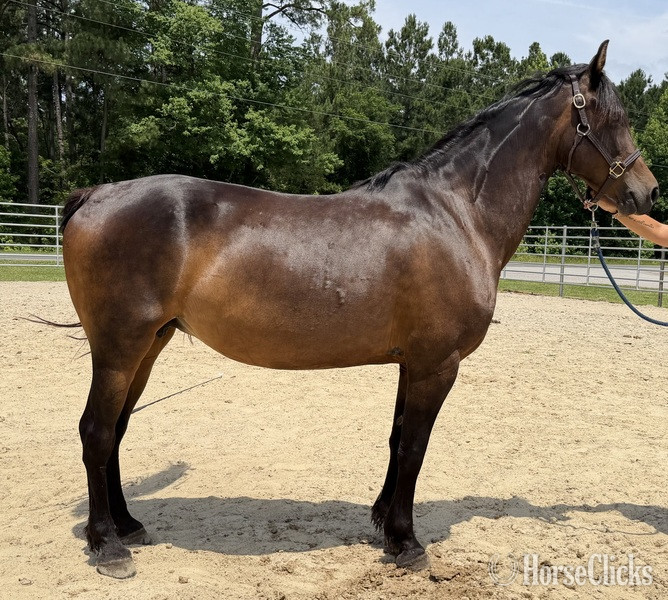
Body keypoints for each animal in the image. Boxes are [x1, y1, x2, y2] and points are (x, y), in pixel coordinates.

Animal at [61, 41, 659, 578]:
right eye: (613, 118)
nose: (647, 194)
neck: (456, 213)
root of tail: (97, 194)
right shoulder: (437, 363)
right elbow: (415, 446)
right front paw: (407, 542)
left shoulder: (412, 362)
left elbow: (396, 439)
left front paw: (383, 523)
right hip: (120, 347)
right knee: (96, 431)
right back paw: (108, 546)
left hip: (148, 345)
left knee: (116, 429)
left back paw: (127, 525)